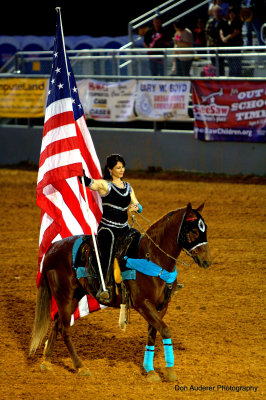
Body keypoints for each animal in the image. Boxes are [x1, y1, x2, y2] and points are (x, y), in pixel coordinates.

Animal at [30, 203, 211, 382]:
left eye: (205, 228)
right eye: (194, 230)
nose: (207, 261)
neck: (152, 258)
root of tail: (53, 248)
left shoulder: (162, 306)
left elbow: (153, 332)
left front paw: (150, 370)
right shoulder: (143, 304)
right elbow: (165, 330)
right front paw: (169, 371)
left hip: (73, 296)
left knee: (57, 323)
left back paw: (47, 362)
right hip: (65, 296)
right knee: (65, 329)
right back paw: (81, 367)